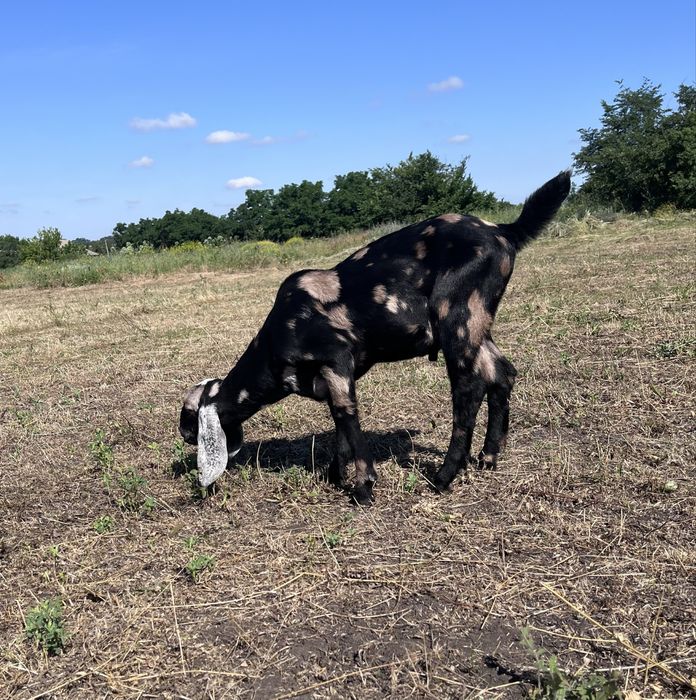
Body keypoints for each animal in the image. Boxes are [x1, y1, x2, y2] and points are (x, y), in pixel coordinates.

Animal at [180, 171, 571, 504]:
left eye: (190, 419)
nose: (183, 436)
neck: (277, 341)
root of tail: (505, 230)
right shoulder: (332, 375)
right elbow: (338, 420)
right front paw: (335, 474)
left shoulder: (335, 359)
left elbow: (346, 415)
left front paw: (363, 486)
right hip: (479, 324)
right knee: (501, 372)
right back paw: (489, 456)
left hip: (458, 315)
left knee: (468, 388)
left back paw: (444, 476)